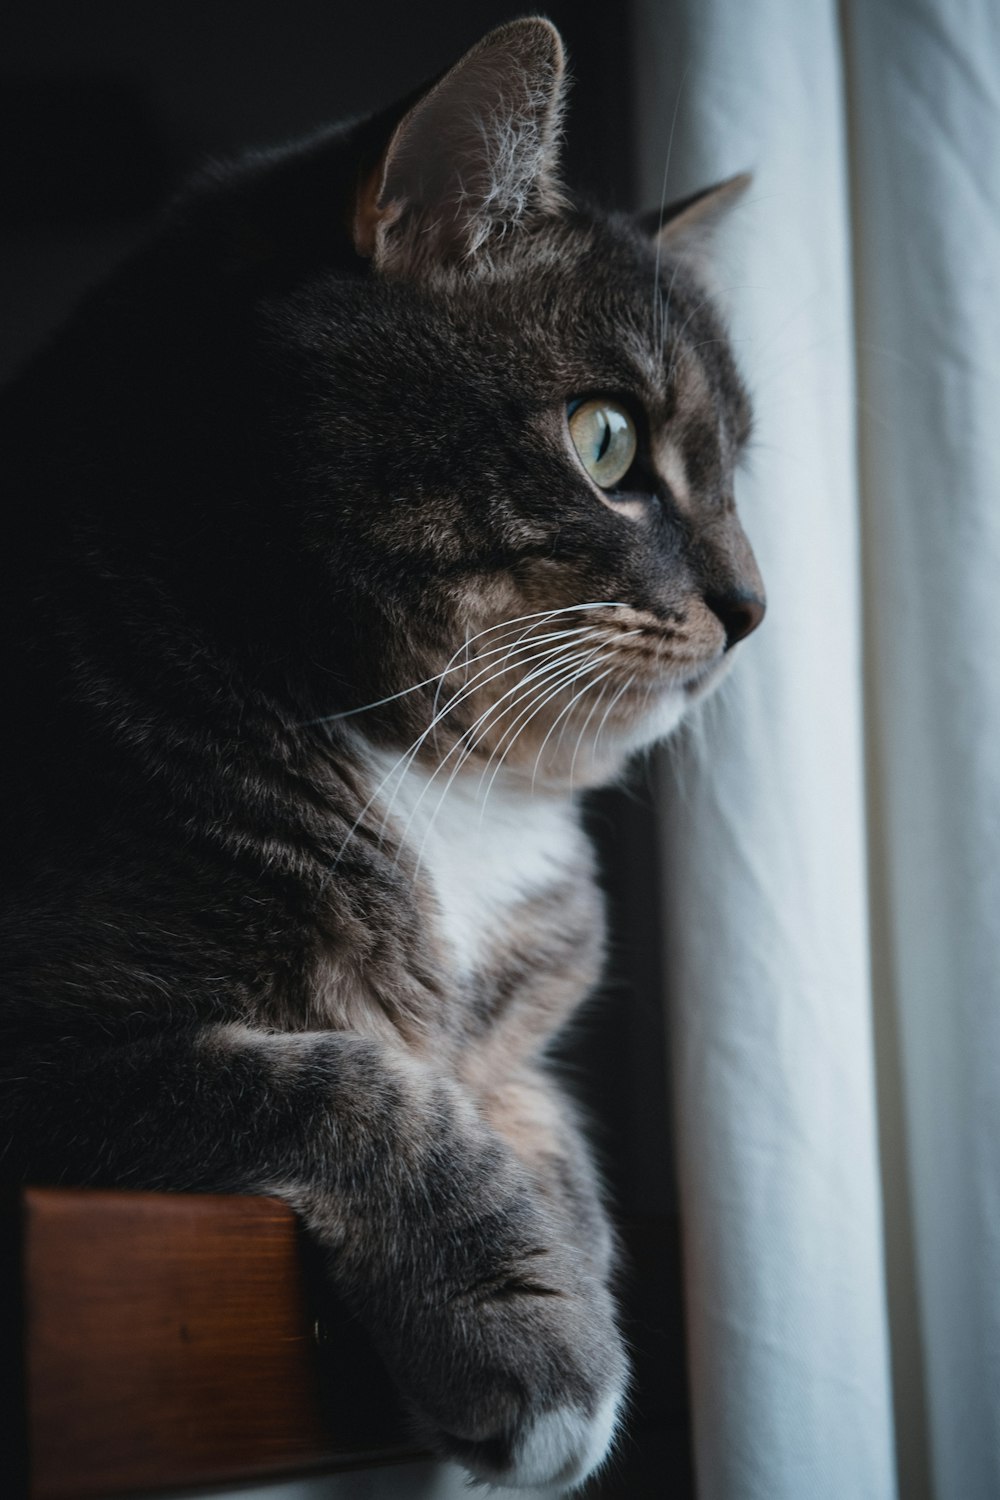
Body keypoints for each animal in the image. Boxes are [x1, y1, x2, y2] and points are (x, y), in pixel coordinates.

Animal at [0, 17, 767, 1494]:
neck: (442, 783)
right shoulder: (56, 1032)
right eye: (607, 441)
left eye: (733, 468)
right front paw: (539, 1358)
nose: (758, 609)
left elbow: (546, 1130)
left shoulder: (520, 1041)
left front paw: (578, 1289)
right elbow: (348, 1085)